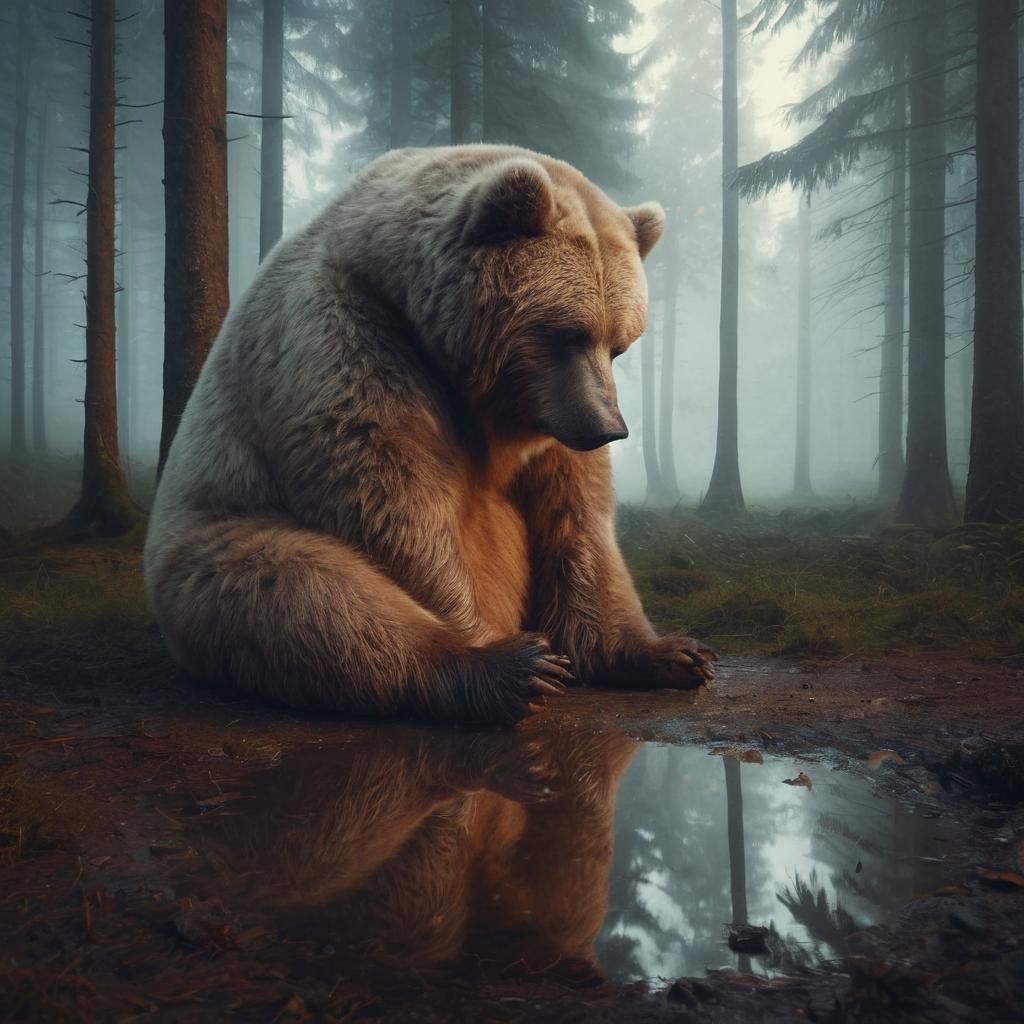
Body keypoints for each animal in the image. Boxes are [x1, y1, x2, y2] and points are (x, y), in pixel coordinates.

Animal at [144, 144, 716, 726]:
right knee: (300, 589)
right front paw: (500, 641)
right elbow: (392, 502)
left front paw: (665, 650)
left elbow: (577, 519)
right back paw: (504, 668)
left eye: (619, 343)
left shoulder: (551, 424)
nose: (609, 429)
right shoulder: (344, 342)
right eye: (568, 334)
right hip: (211, 534)